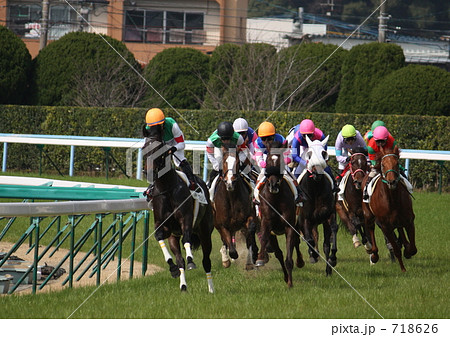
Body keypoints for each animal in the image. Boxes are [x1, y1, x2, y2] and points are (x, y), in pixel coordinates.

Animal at [143, 126, 215, 292]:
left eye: (158, 149)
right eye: (143, 149)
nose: (148, 172)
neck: (167, 188)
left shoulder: (186, 219)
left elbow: (187, 240)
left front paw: (191, 260)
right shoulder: (163, 226)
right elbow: (160, 238)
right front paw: (173, 269)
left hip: (205, 232)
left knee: (206, 260)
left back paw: (211, 289)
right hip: (174, 237)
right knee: (180, 257)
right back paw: (183, 286)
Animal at [255, 140, 300, 288]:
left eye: (280, 162)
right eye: (268, 160)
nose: (273, 185)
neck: (275, 198)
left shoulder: (289, 226)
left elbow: (289, 255)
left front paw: (290, 283)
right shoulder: (266, 223)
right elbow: (264, 238)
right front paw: (260, 259)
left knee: (296, 242)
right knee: (279, 253)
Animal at [296, 135, 338, 274]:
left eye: (324, 153)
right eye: (309, 154)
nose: (317, 172)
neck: (315, 189)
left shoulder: (329, 215)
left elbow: (331, 237)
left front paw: (332, 260)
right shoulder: (304, 218)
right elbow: (308, 239)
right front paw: (313, 255)